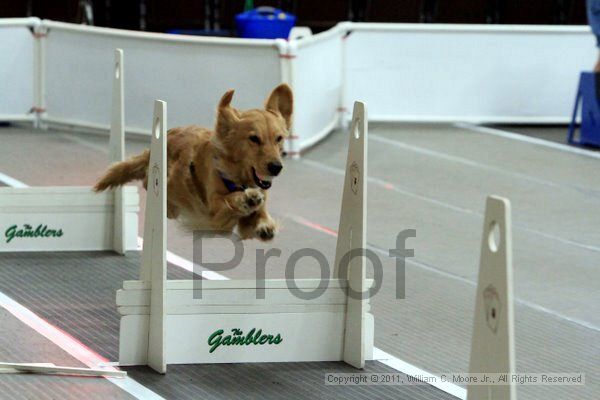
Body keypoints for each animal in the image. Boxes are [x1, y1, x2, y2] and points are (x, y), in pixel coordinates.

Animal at [94, 84, 292, 241]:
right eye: (254, 139)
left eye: (279, 138)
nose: (276, 167)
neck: (237, 177)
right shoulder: (215, 218)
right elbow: (228, 200)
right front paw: (247, 199)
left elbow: (260, 216)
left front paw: (265, 226)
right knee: (147, 182)